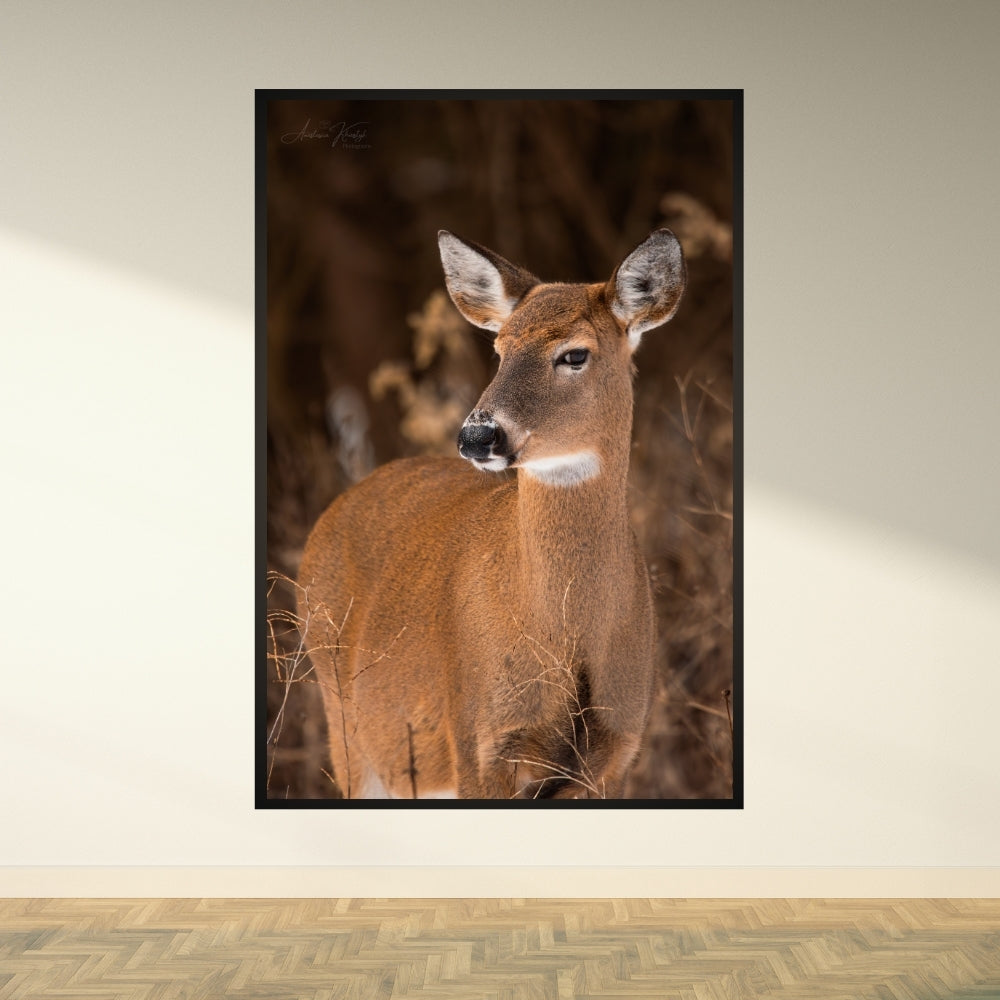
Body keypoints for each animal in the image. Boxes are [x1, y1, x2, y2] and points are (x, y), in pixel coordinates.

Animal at [296, 228, 686, 799]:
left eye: (574, 355)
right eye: (500, 348)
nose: (478, 435)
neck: (565, 636)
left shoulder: (617, 752)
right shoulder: (474, 735)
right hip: (347, 724)